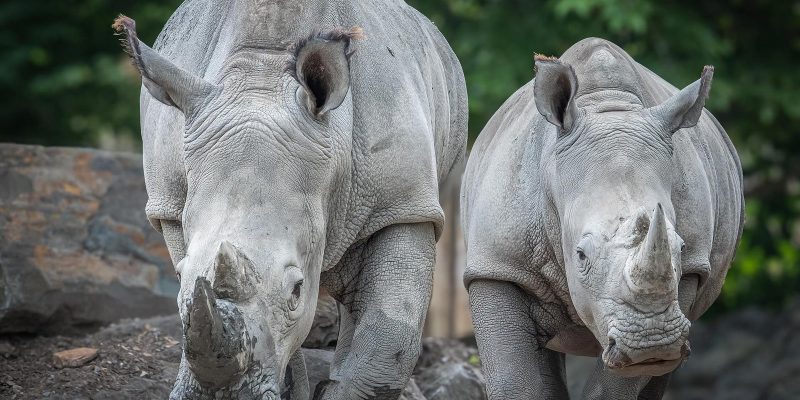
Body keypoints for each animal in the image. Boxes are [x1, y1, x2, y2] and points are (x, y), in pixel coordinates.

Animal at [112, 0, 467, 398]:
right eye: (178, 277)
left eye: (296, 291)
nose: (221, 395)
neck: (262, 75)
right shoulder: (169, 205)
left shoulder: (402, 204)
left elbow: (387, 341)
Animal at [461, 38, 743, 399]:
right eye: (581, 255)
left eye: (679, 247)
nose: (651, 344)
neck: (606, 107)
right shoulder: (498, 265)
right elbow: (516, 382)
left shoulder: (692, 267)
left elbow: (614, 389)